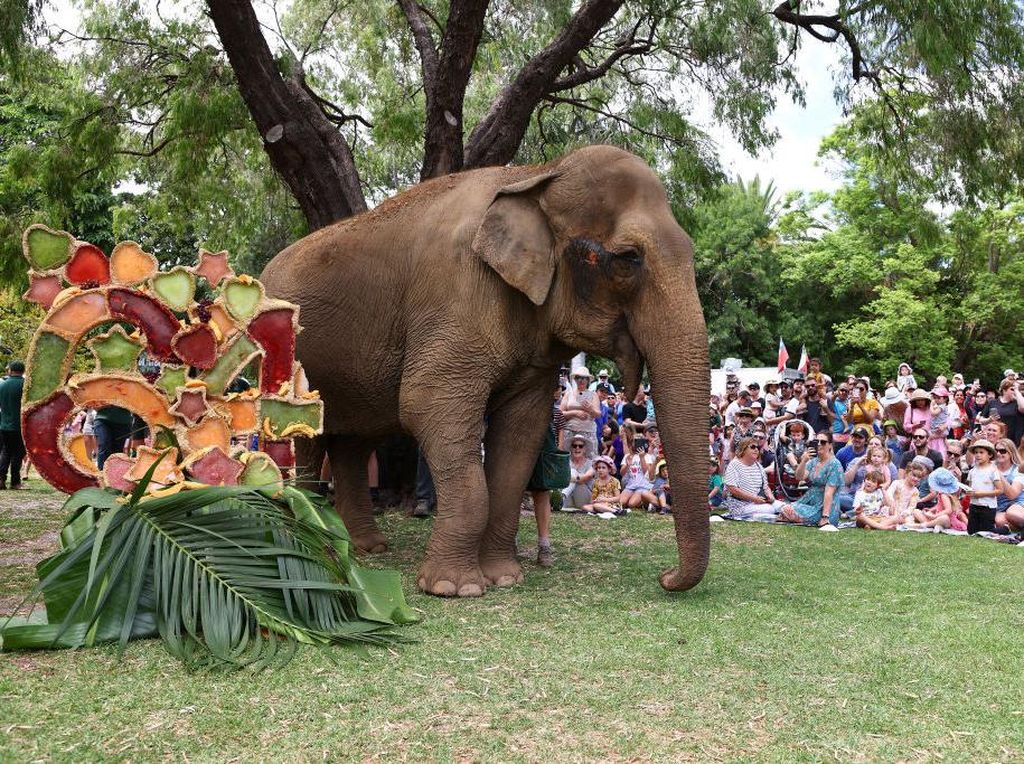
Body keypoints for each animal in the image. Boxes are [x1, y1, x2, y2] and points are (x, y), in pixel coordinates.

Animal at [262, 143, 712, 593]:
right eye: (628, 258)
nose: (665, 577)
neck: (534, 174)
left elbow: (521, 433)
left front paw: (504, 577)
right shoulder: (454, 293)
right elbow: (426, 403)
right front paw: (455, 588)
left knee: (352, 443)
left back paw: (366, 547)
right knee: (304, 436)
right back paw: (311, 541)